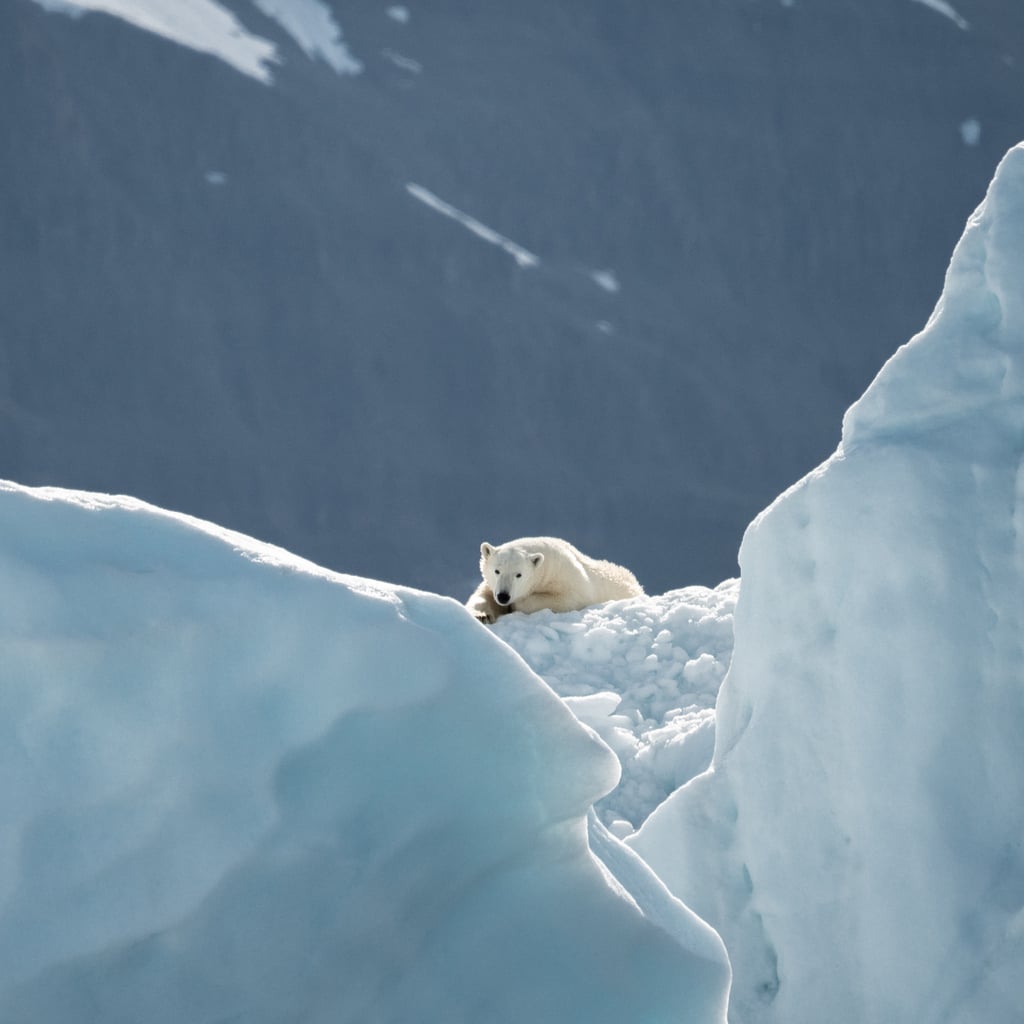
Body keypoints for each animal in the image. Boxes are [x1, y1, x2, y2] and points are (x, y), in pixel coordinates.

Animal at [464, 536, 638, 622]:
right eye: (497, 571)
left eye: (519, 574)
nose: (503, 596)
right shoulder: (491, 585)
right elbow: (482, 596)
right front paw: (481, 616)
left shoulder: (566, 578)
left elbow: (567, 599)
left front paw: (516, 605)